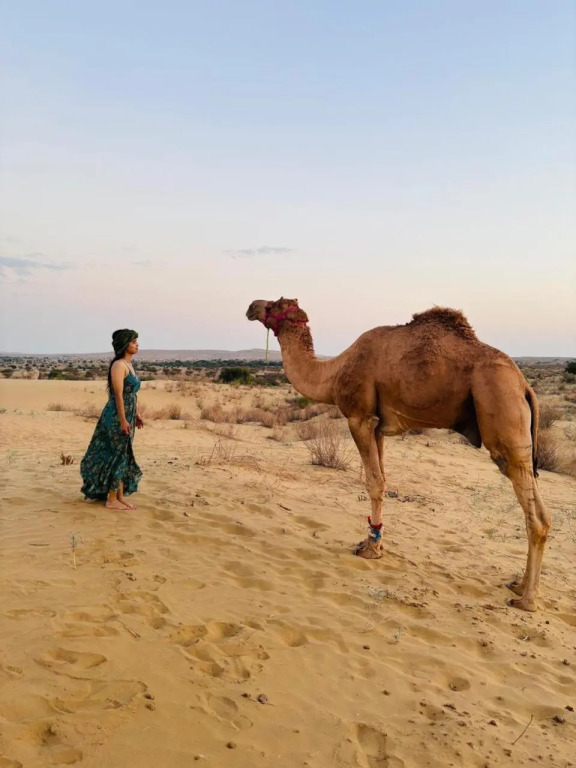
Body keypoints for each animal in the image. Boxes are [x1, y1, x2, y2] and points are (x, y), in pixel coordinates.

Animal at [246, 298, 550, 612]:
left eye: (274, 304)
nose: (252, 306)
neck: (334, 371)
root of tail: (525, 387)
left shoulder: (359, 417)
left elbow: (373, 482)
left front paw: (371, 550)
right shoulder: (378, 426)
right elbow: (382, 480)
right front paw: (372, 542)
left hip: (502, 411)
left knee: (534, 513)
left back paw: (527, 600)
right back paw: (519, 585)